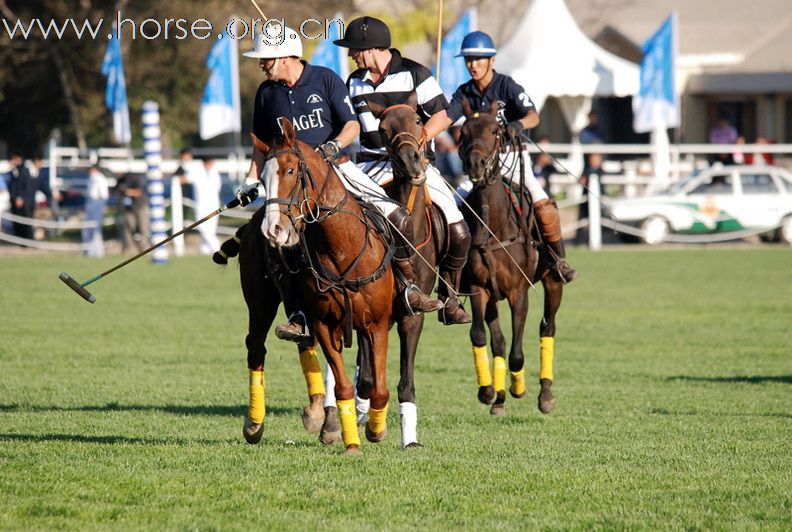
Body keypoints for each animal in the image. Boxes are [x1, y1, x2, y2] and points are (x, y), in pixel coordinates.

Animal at [244, 119, 396, 454]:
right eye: (261, 178)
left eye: (291, 171)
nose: (273, 230)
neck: (343, 248)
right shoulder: (326, 324)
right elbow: (343, 387)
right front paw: (351, 444)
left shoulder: (377, 324)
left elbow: (377, 388)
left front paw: (375, 429)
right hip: (260, 303)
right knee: (257, 347)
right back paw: (255, 423)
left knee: (304, 344)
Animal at [458, 100, 564, 416]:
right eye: (462, 132)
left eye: (496, 130)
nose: (476, 165)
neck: (494, 227)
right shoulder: (479, 288)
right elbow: (481, 337)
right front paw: (489, 391)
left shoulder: (519, 291)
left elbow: (518, 351)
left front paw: (519, 388)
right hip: (493, 296)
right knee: (499, 342)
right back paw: (500, 398)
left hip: (553, 281)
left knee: (547, 327)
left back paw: (545, 394)